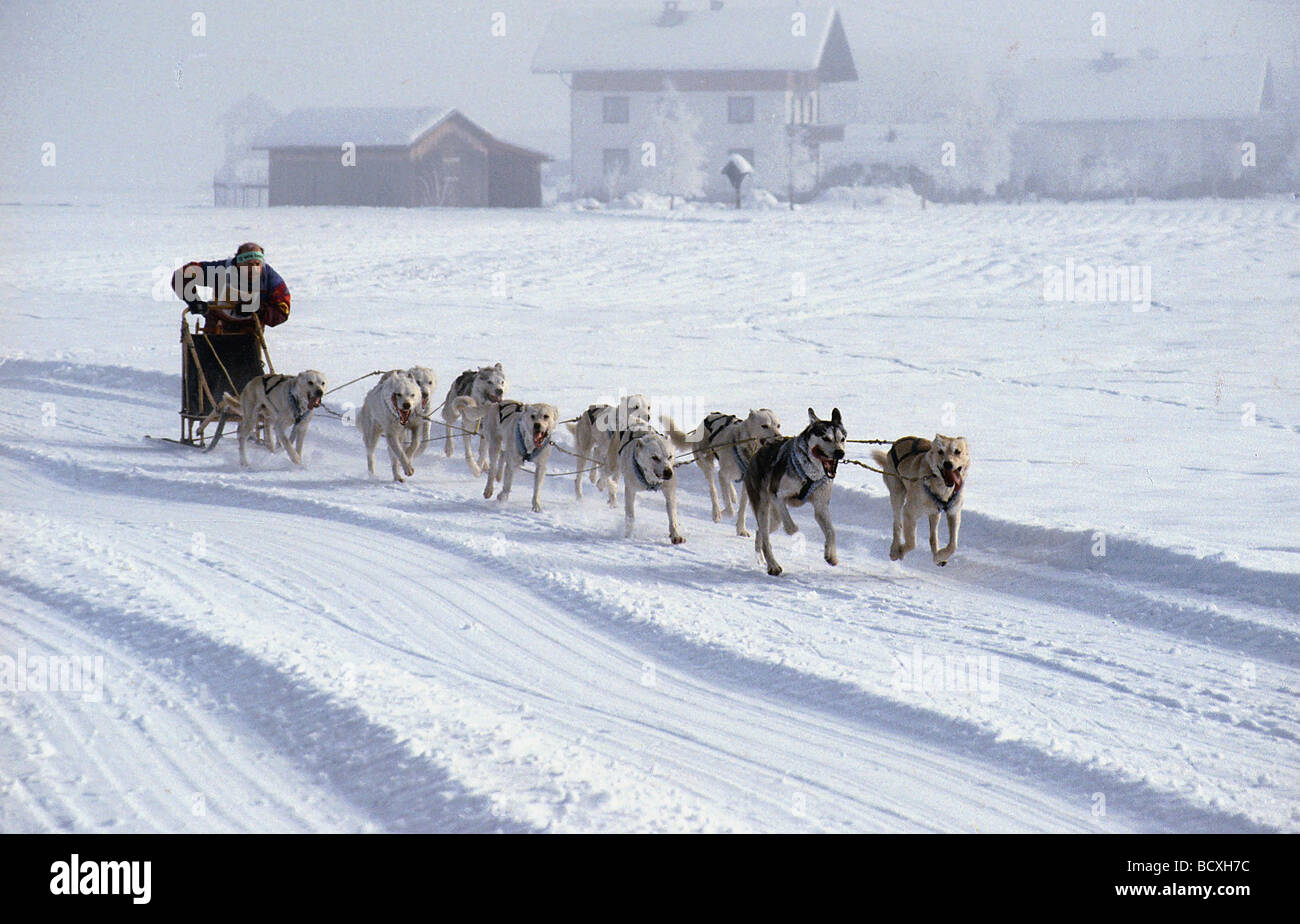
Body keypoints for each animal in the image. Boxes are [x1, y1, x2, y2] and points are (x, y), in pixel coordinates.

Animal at [748, 408, 847, 574]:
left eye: (842, 438)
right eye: (825, 438)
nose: (840, 453)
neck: (810, 474)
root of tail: (760, 451)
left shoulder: (821, 506)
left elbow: (831, 531)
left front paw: (831, 556)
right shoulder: (777, 494)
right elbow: (789, 523)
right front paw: (793, 531)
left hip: (774, 520)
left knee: (760, 531)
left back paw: (761, 557)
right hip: (763, 507)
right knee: (765, 537)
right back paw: (773, 565)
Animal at [868, 434, 972, 564]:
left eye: (957, 451)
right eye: (940, 451)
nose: (947, 463)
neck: (942, 488)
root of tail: (896, 443)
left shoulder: (954, 512)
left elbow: (953, 545)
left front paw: (940, 556)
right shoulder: (909, 512)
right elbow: (912, 542)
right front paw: (901, 551)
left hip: (934, 512)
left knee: (933, 535)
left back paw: (936, 553)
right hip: (897, 494)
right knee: (897, 524)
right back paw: (895, 549)